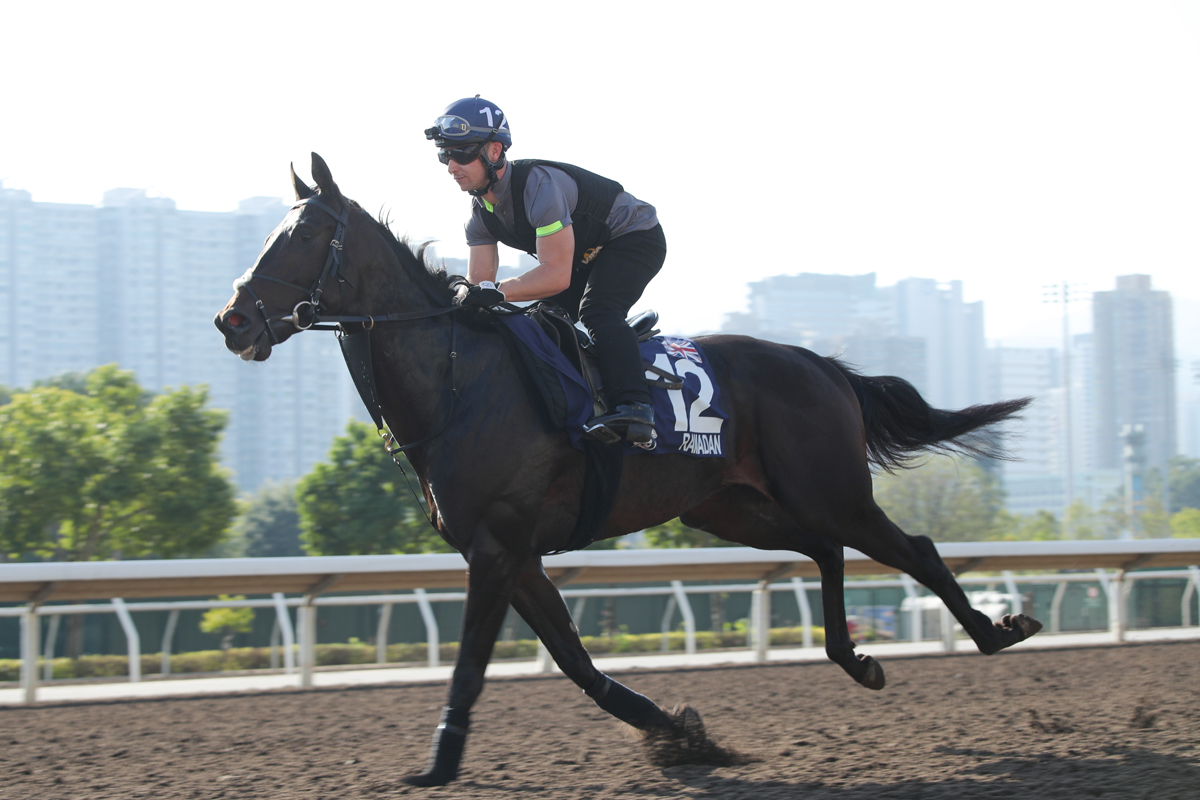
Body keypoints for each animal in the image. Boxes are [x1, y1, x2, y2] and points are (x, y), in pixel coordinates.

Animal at [213, 153, 1041, 786]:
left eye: (307, 234)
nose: (233, 320)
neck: (459, 381)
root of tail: (822, 363)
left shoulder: (498, 546)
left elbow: (473, 664)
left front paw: (439, 766)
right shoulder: (514, 554)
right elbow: (577, 663)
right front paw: (680, 731)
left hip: (828, 489)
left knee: (912, 549)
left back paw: (999, 630)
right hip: (732, 507)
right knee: (825, 549)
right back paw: (856, 659)